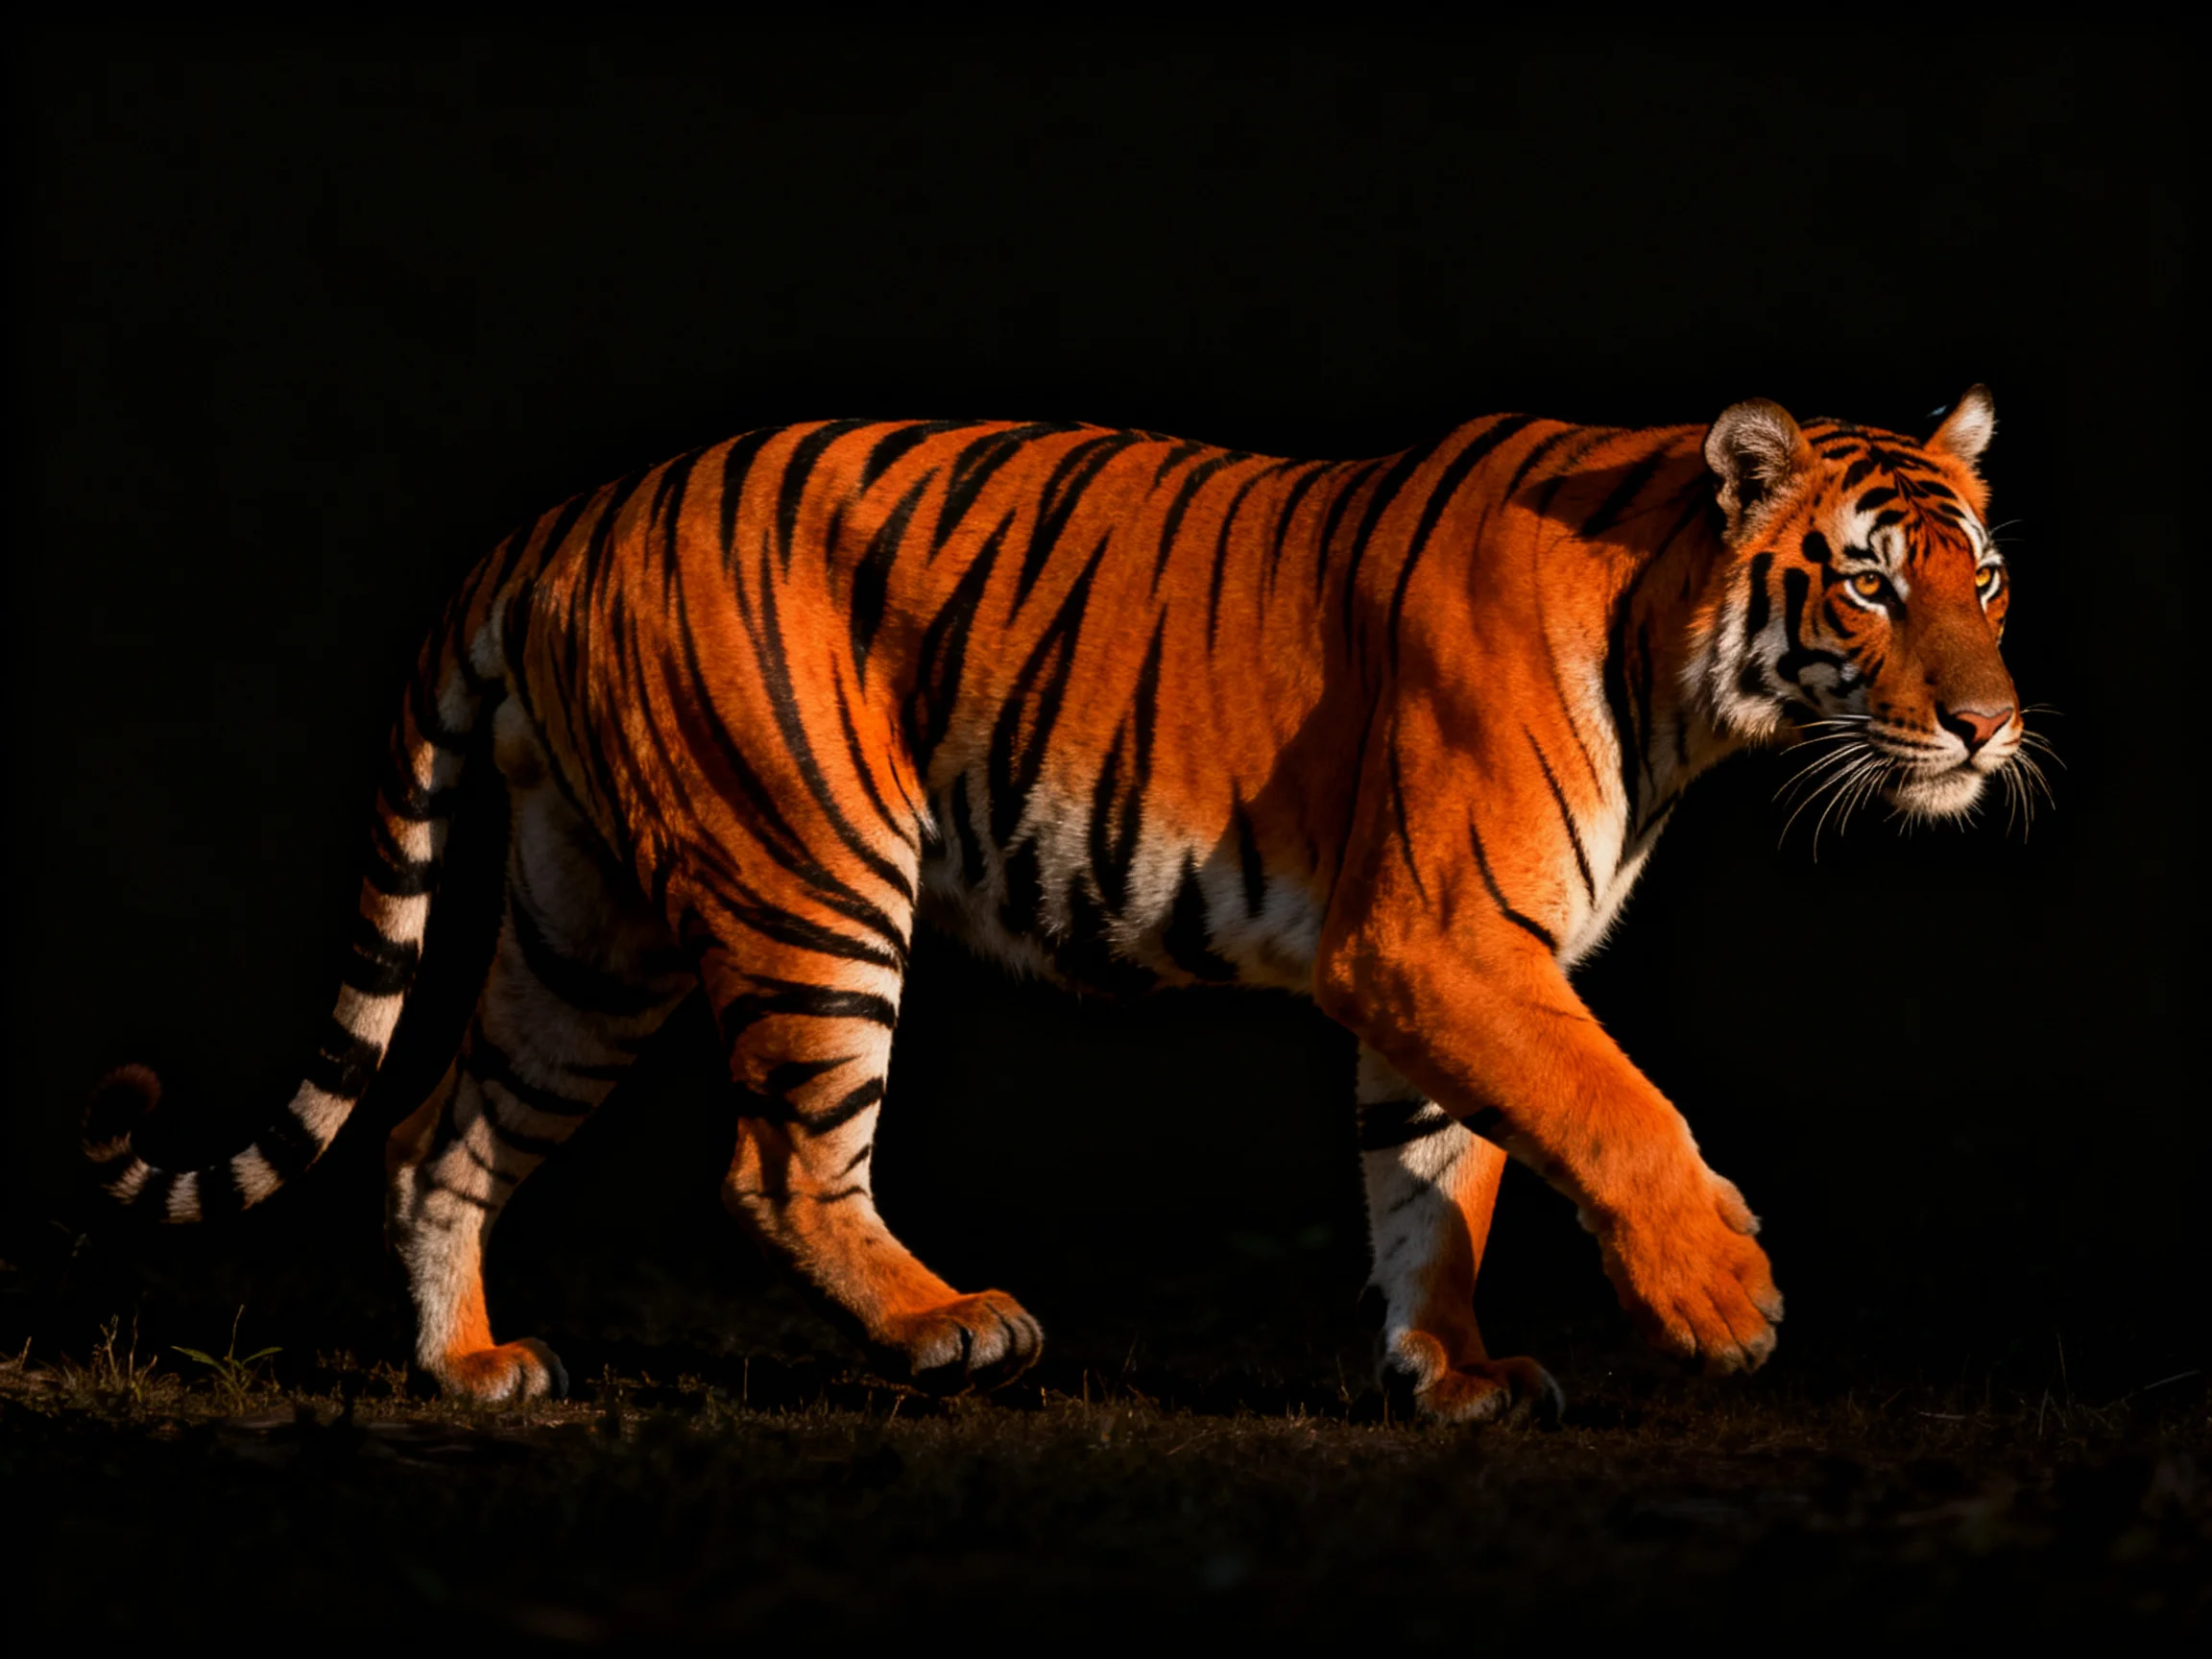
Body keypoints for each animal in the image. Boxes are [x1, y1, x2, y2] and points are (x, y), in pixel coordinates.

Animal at [85, 388, 2027, 1423]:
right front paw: (1723, 1299)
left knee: (436, 1130)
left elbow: (1438, 1184)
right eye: (1867, 585)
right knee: (776, 1160)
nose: (1986, 724)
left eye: (1985, 579)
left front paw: (1449, 1373)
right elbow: (1611, 1109)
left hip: (589, 925)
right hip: (811, 873)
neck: (1685, 672)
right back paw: (947, 1323)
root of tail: (559, 519)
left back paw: (470, 1364)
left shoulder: (1455, 961)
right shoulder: (1442, 935)